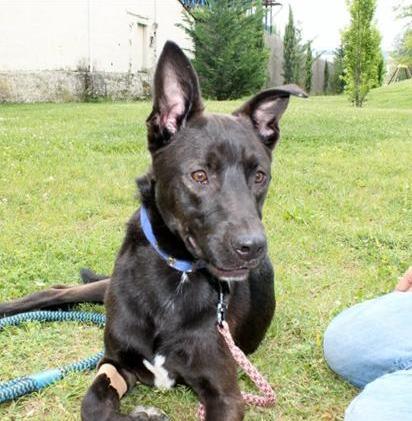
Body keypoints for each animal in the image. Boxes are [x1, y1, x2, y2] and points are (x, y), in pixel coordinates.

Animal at [0, 41, 306, 418]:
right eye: (200, 175)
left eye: (260, 176)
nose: (253, 247)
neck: (177, 277)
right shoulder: (114, 362)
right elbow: (94, 403)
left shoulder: (225, 393)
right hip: (108, 288)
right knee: (56, 292)